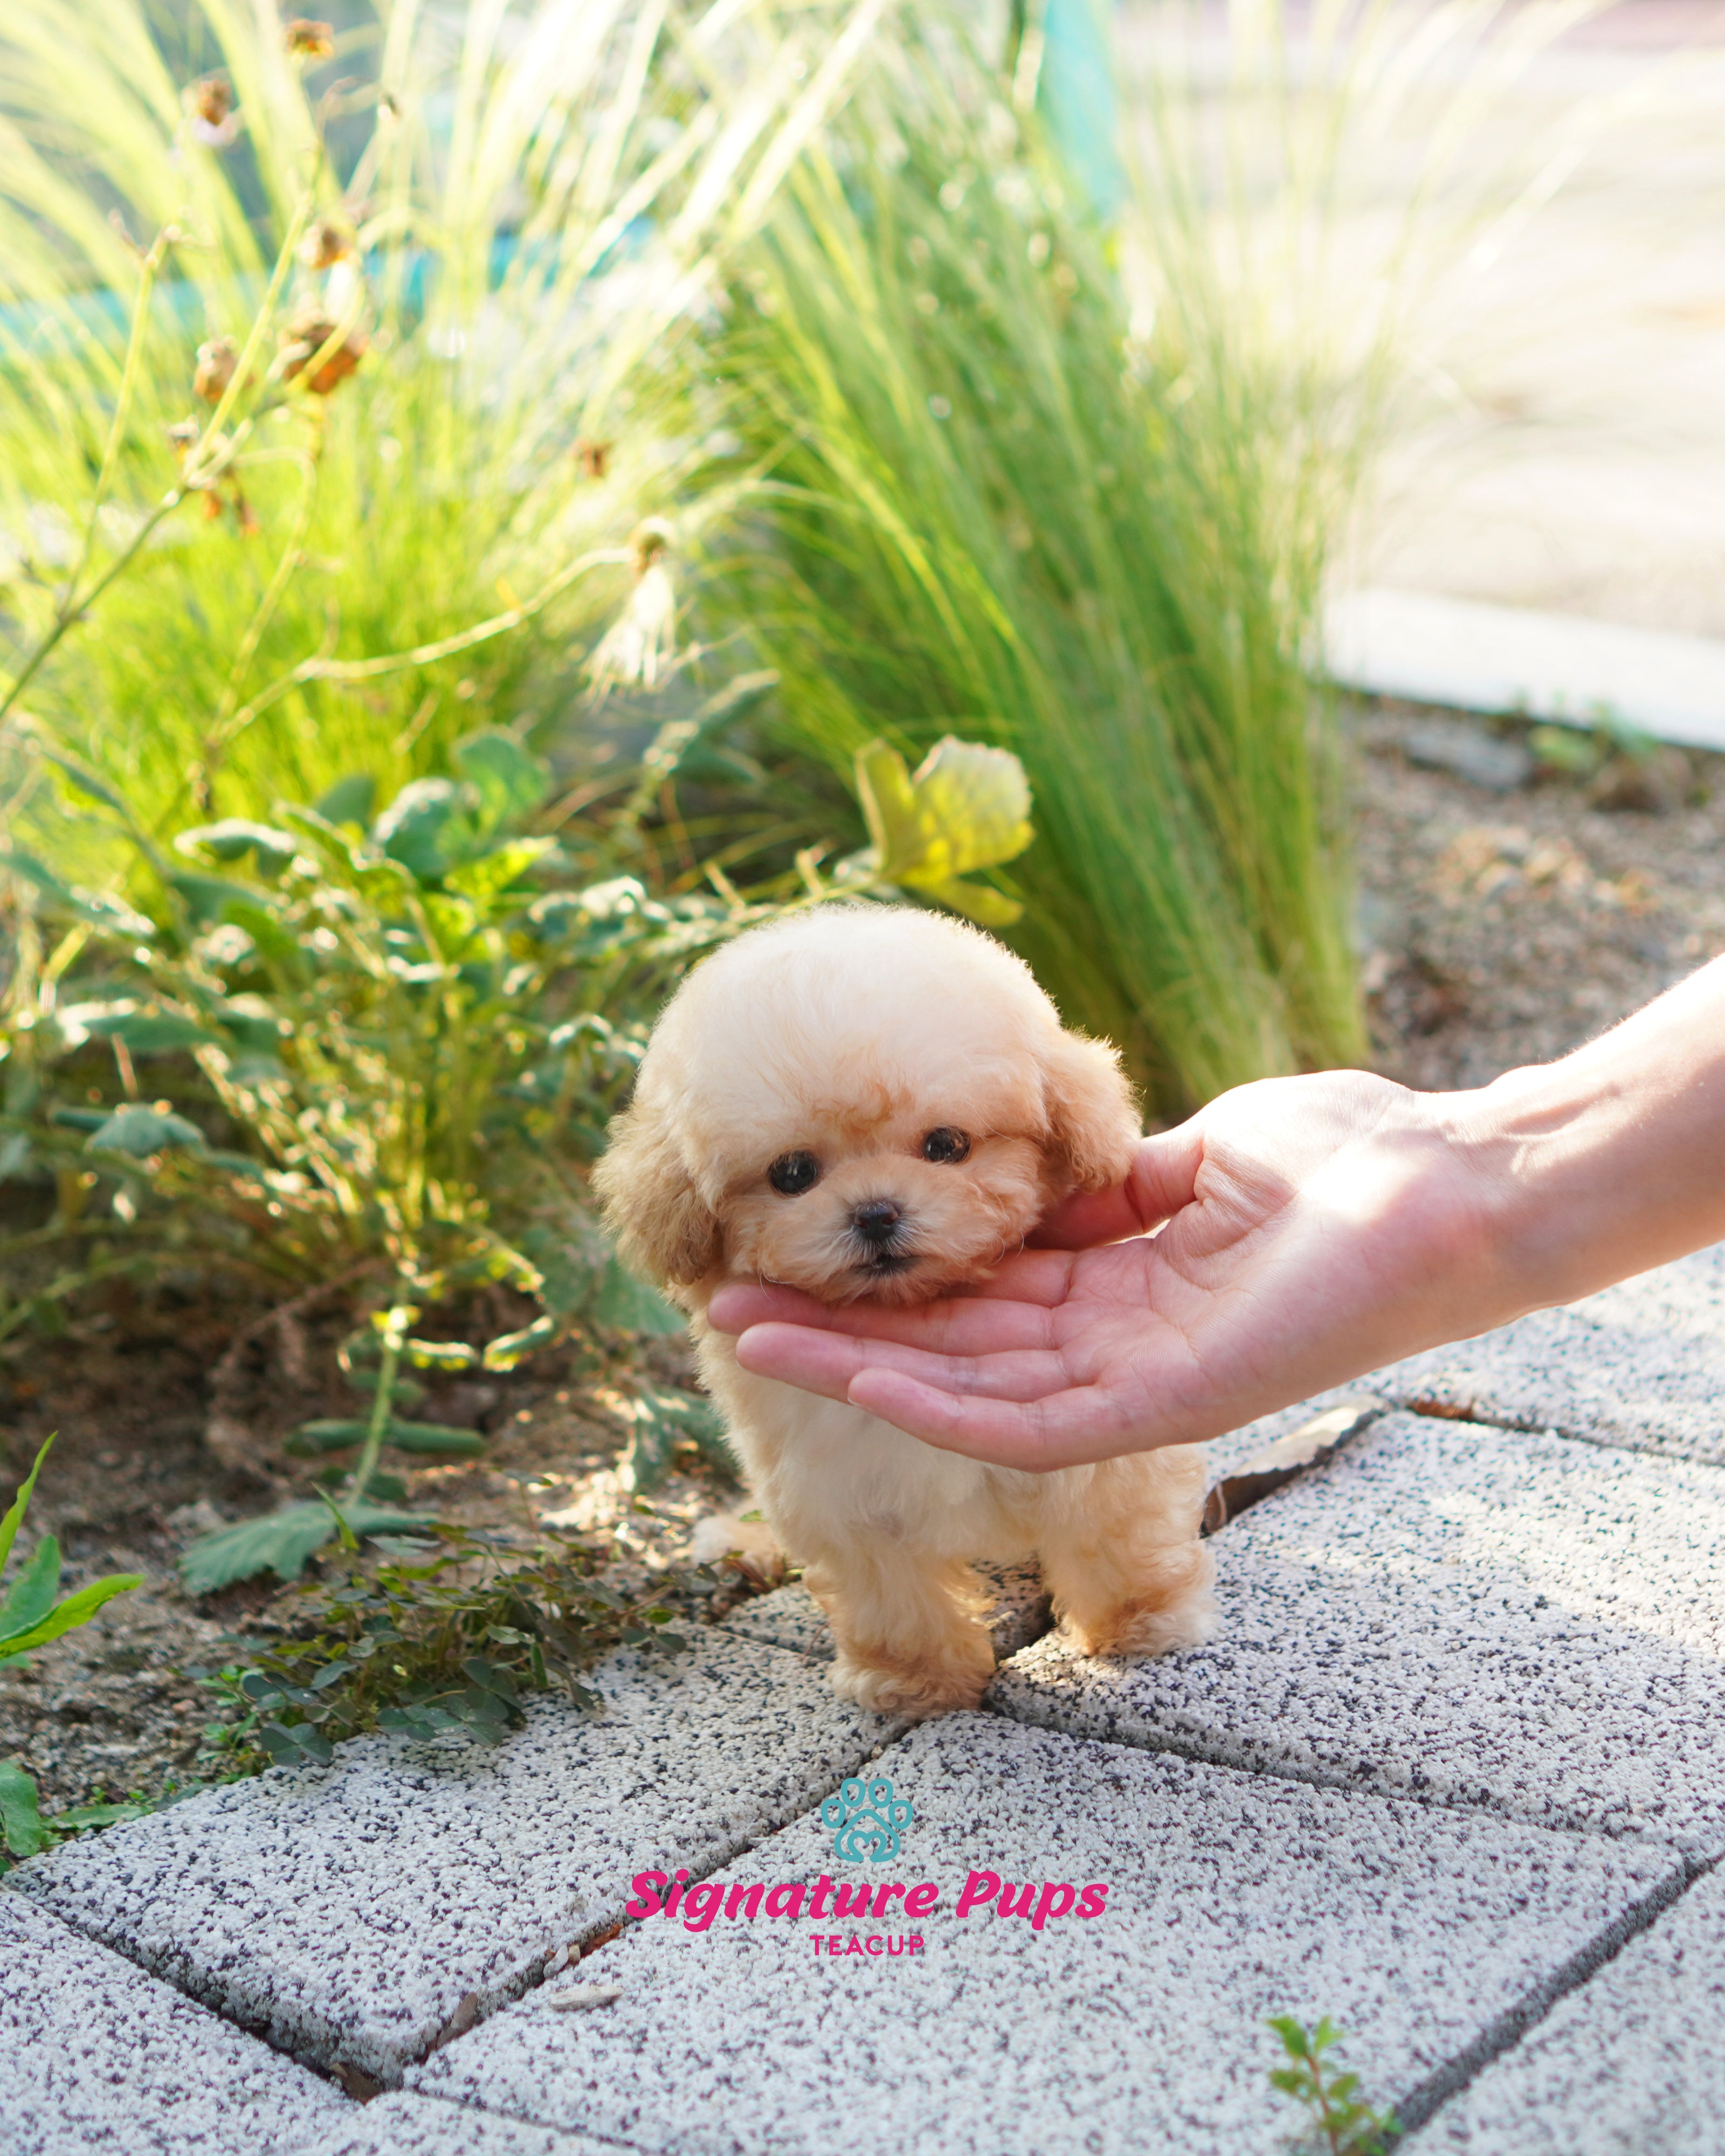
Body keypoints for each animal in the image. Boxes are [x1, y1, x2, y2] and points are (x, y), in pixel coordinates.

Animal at [595, 901, 1216, 1708]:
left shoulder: (1107, 1456)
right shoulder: (836, 1496)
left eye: (946, 1145)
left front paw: (1140, 1622)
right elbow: (889, 1593)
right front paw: (915, 1680)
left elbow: (1115, 1528)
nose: (876, 1212)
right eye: (791, 1174)